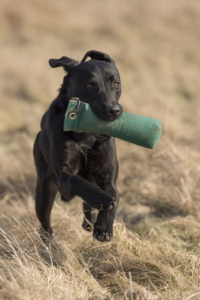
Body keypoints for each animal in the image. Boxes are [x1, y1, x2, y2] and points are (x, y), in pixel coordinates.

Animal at [33, 49, 122, 241]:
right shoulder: (64, 177)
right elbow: (78, 181)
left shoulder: (108, 176)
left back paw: (90, 224)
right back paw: (48, 242)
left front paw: (104, 228)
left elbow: (114, 194)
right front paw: (101, 199)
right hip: (43, 190)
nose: (114, 111)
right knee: (45, 223)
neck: (86, 137)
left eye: (115, 84)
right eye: (89, 85)